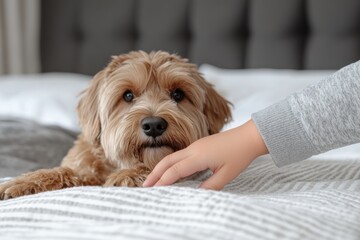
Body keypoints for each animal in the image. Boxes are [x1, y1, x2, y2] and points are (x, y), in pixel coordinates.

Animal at [0, 49, 231, 200]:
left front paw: (127, 176)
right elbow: (63, 171)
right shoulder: (83, 169)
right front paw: (21, 183)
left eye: (178, 94)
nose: (154, 125)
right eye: (127, 95)